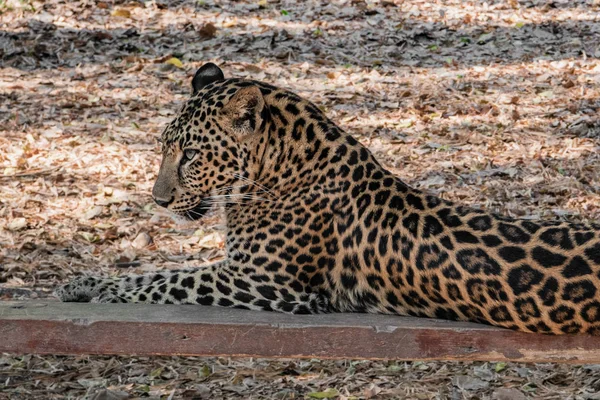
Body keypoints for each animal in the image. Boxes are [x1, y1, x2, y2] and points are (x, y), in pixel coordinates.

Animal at [57, 62, 600, 336]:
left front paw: (102, 292)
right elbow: (156, 271)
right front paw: (83, 282)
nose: (158, 200)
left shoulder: (261, 282)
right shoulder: (240, 271)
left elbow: (167, 280)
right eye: (163, 147)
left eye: (190, 154)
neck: (277, 170)